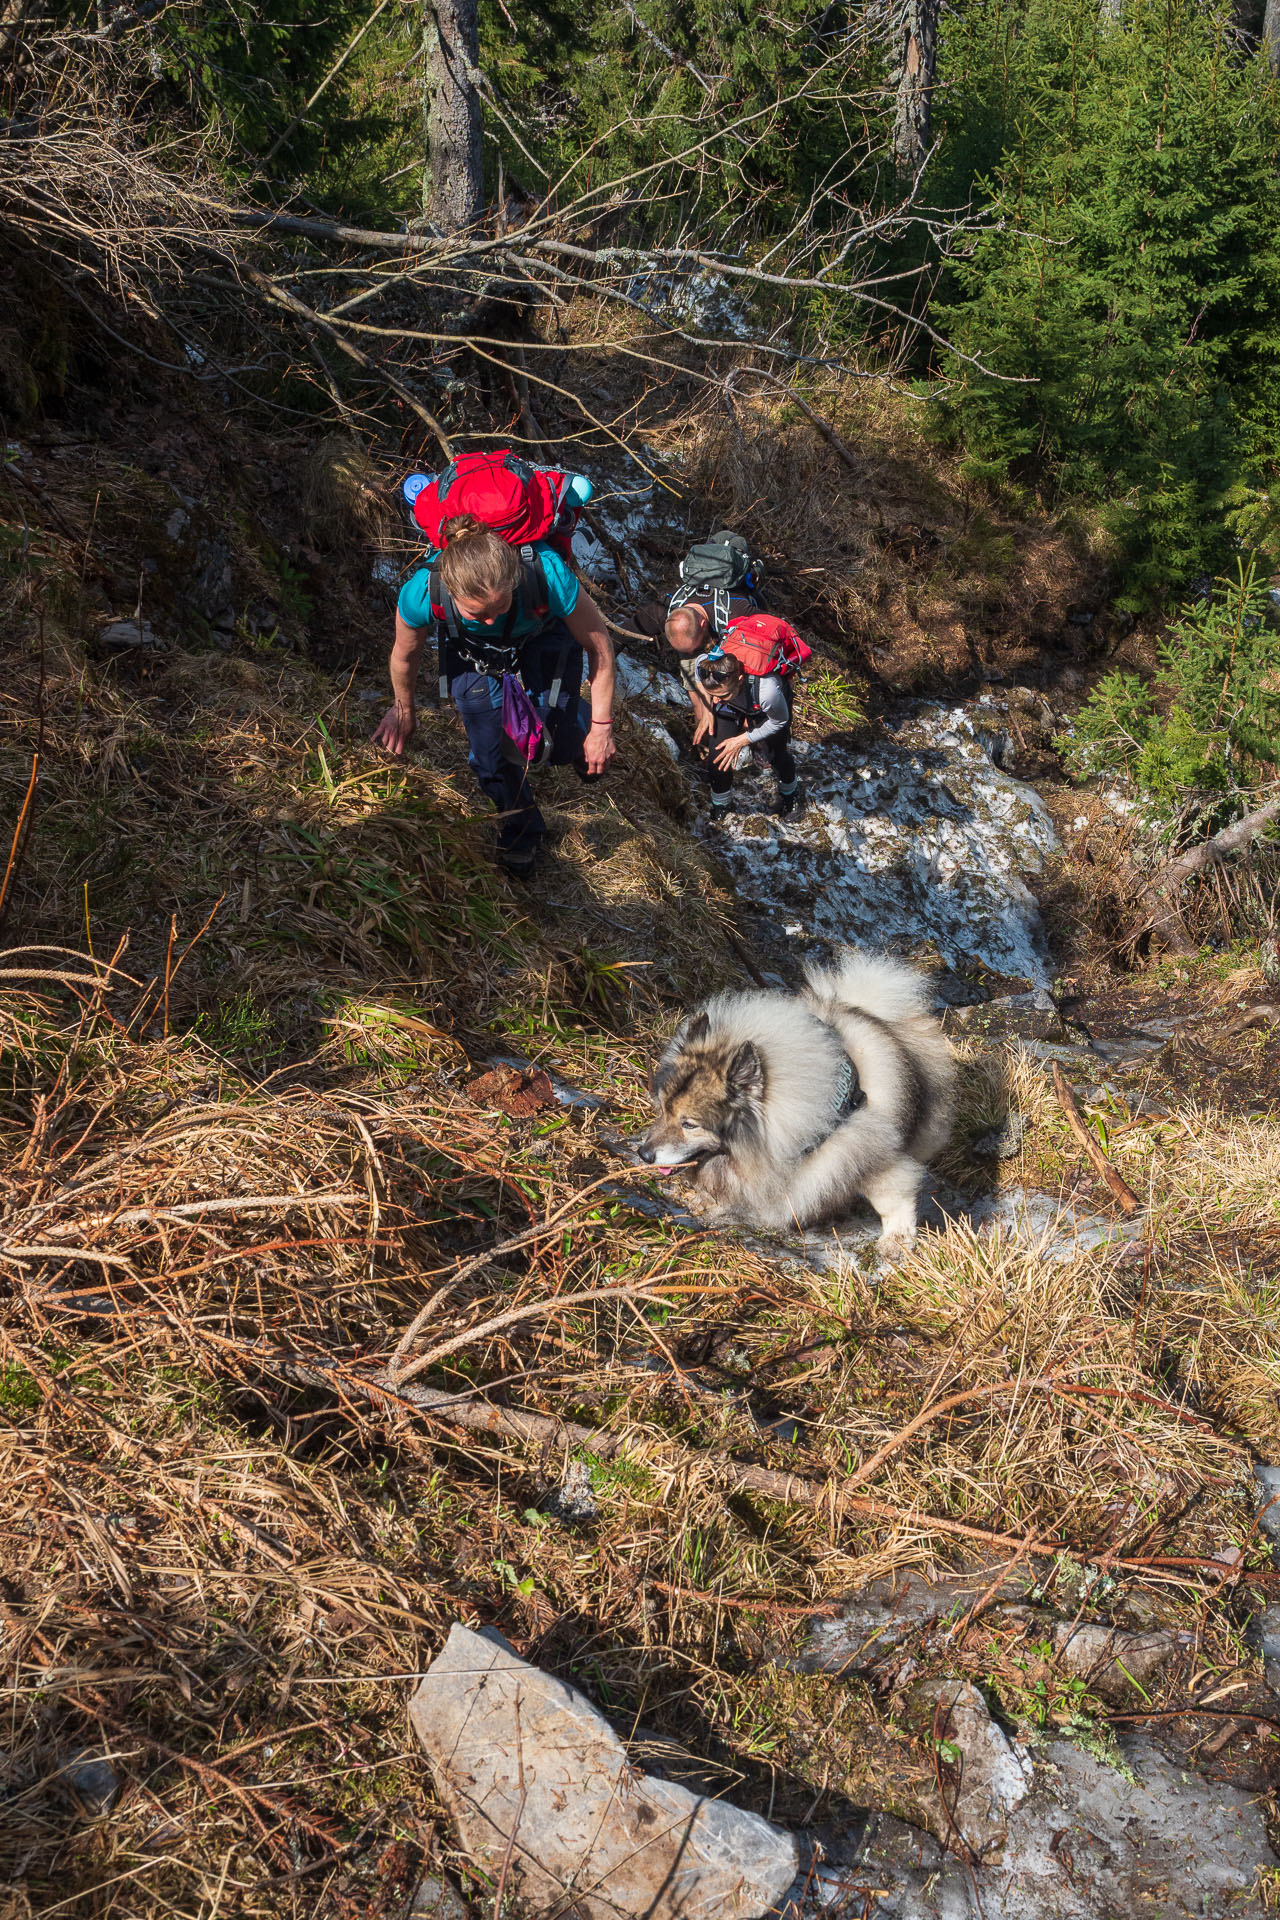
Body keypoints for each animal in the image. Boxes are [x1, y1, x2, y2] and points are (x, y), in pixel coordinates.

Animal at [637, 948, 955, 1244]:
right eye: (663, 1109)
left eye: (689, 1124)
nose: (643, 1154)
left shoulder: (869, 1154)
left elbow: (893, 1199)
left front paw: (896, 1241)